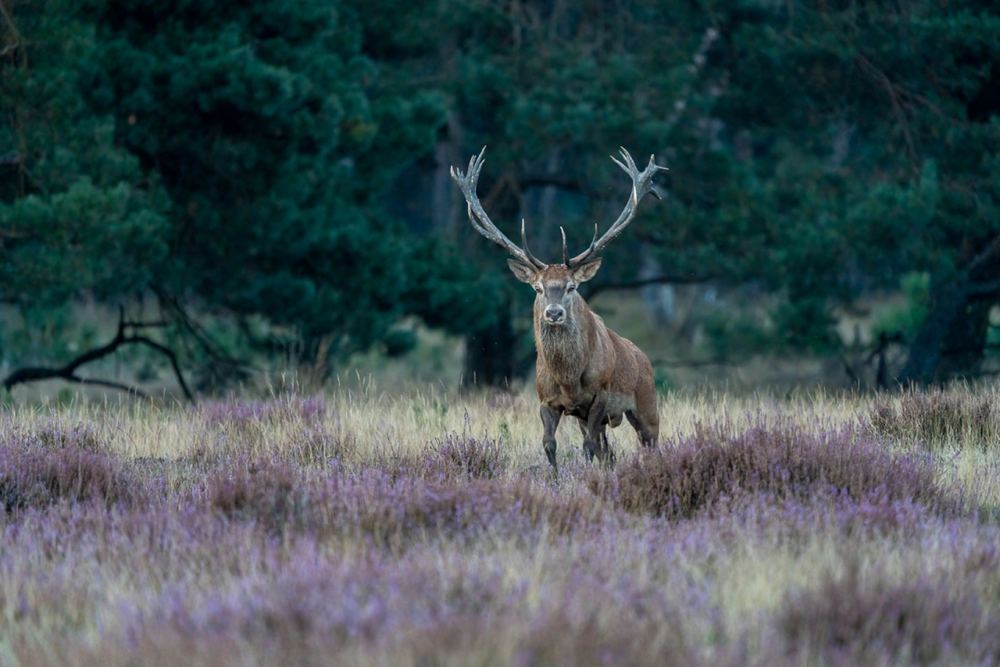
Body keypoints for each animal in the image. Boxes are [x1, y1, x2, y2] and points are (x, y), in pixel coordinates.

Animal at [451, 147, 667, 471]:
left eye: (571, 286)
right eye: (537, 288)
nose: (553, 313)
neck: (568, 381)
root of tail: (643, 357)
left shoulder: (599, 396)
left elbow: (587, 447)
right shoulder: (547, 401)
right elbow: (550, 445)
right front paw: (554, 477)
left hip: (646, 402)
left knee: (650, 443)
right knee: (609, 452)